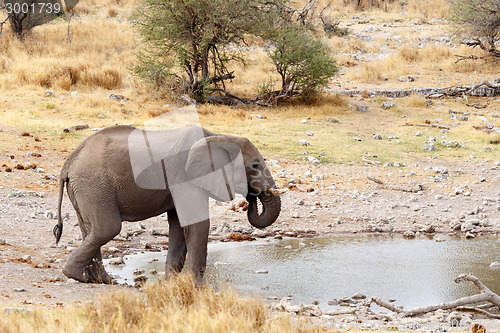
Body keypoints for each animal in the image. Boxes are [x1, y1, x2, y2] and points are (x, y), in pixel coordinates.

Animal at [54, 124, 282, 282]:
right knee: (107, 229)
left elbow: (179, 227)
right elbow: (197, 225)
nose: (251, 195)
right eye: (255, 165)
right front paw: (196, 287)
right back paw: (77, 275)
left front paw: (171, 283)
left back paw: (98, 279)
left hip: (85, 188)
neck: (221, 136)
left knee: (90, 230)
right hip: (94, 184)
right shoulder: (185, 176)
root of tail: (68, 163)